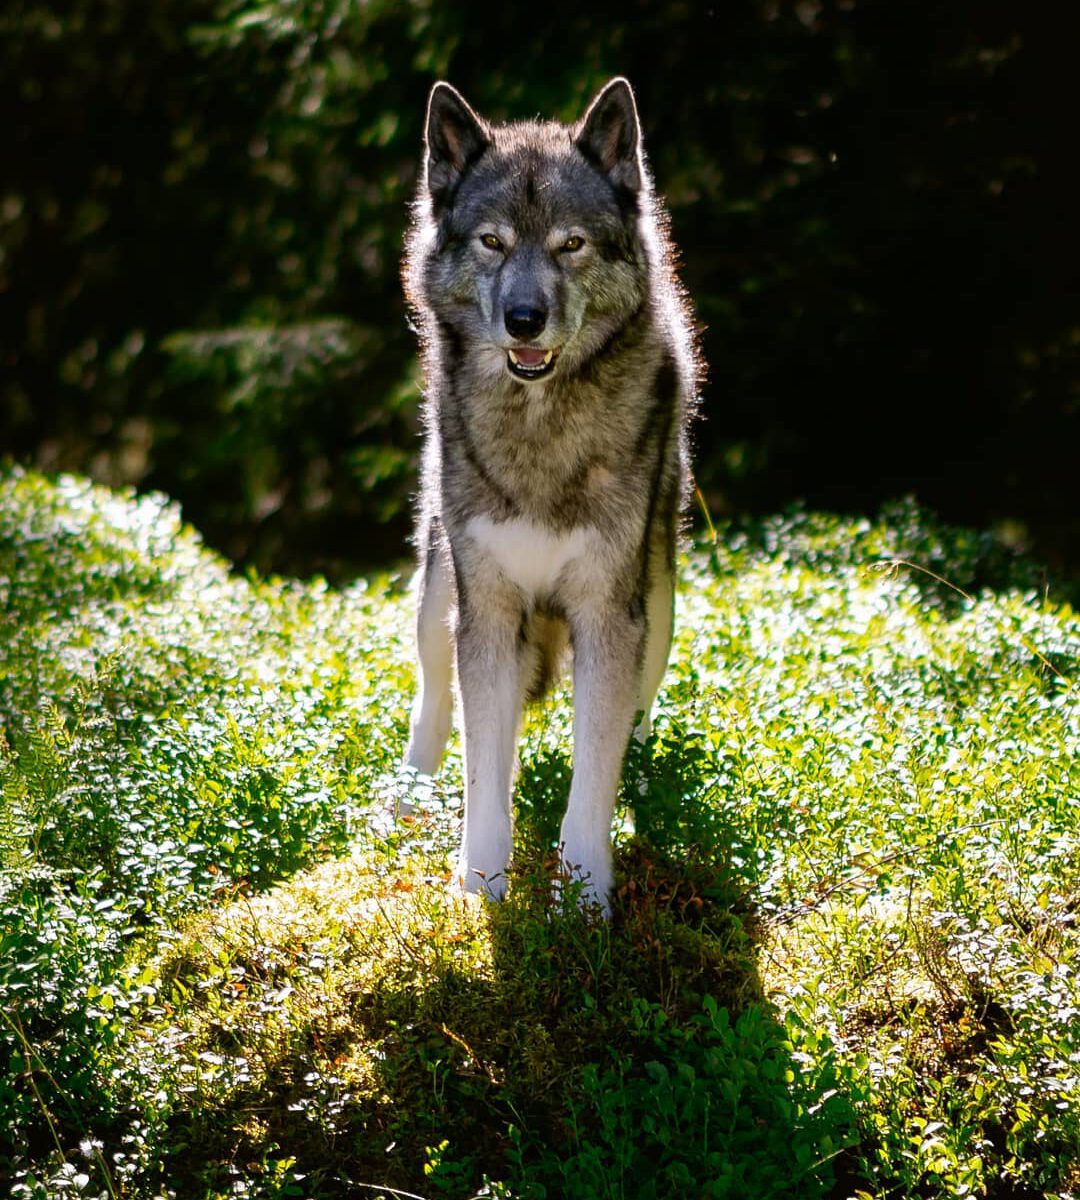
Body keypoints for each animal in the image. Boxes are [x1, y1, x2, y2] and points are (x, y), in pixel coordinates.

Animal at [400, 79, 696, 912]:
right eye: (492, 242)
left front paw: (586, 899)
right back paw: (403, 800)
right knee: (432, 705)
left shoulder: (609, 615)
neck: (540, 426)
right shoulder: (489, 612)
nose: (524, 320)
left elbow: (592, 771)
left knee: (635, 718)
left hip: (657, 607)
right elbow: (484, 774)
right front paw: (480, 892)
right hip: (439, 595)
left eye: (572, 244)